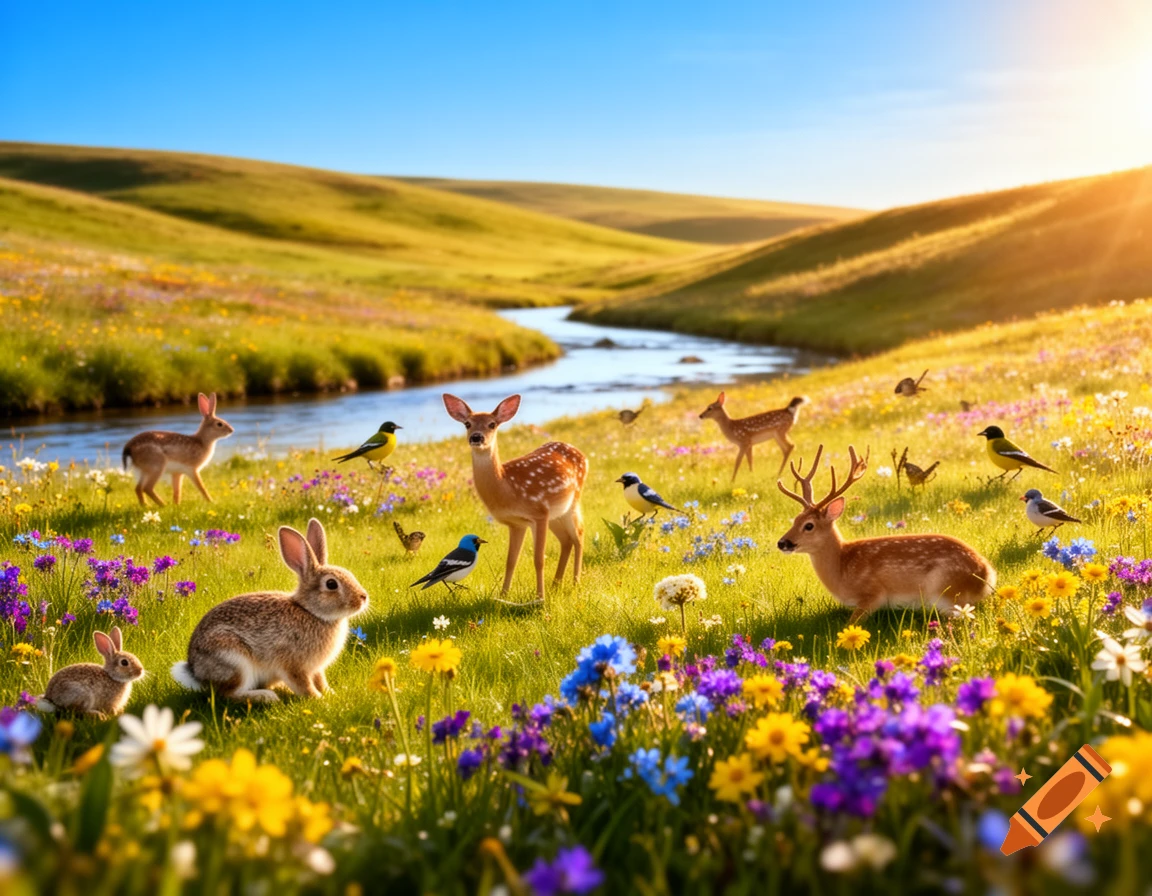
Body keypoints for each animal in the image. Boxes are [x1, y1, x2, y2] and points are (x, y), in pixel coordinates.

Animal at [171, 518, 369, 703]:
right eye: (331, 584)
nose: (363, 597)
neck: (311, 612)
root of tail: (195, 671)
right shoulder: (293, 664)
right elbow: (303, 685)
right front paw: (318, 699)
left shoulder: (316, 669)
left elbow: (320, 681)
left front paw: (331, 694)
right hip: (234, 659)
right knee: (227, 694)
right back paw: (266, 697)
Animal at [443, 394, 587, 603]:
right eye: (467, 423)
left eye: (492, 424)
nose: (476, 437)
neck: (508, 488)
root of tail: (581, 453)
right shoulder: (517, 523)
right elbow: (511, 560)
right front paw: (503, 595)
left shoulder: (538, 514)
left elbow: (539, 559)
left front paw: (540, 598)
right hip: (555, 514)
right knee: (567, 539)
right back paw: (556, 584)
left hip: (572, 501)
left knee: (579, 534)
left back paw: (575, 583)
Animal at [776, 444, 995, 623]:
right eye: (795, 520)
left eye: (809, 525)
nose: (782, 542)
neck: (841, 567)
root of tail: (987, 573)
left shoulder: (874, 593)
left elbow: (850, 623)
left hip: (945, 590)